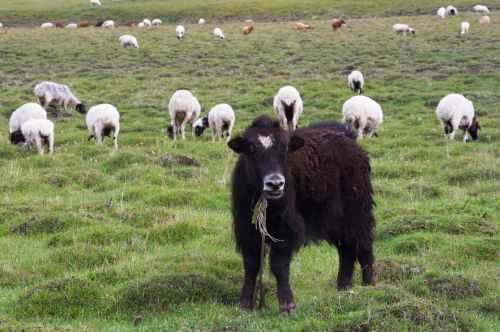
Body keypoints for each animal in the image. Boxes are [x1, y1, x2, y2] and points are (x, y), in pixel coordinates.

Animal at [228, 116, 376, 314]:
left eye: (285, 148)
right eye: (251, 148)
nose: (275, 184)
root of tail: (350, 139)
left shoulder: (285, 229)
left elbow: (279, 264)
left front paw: (287, 305)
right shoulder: (246, 229)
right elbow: (251, 264)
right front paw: (245, 303)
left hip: (357, 212)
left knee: (363, 245)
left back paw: (369, 285)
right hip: (337, 221)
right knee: (346, 249)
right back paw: (343, 287)